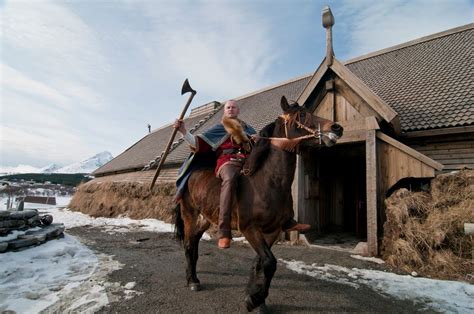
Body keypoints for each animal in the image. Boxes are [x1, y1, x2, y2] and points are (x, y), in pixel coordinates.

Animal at [172, 96, 342, 312]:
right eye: (302, 115)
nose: (336, 128)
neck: (267, 182)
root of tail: (189, 175)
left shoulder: (273, 230)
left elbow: (260, 263)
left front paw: (256, 299)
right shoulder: (250, 228)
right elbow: (269, 262)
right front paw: (254, 299)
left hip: (206, 218)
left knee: (193, 242)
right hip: (190, 214)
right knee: (187, 244)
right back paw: (192, 280)